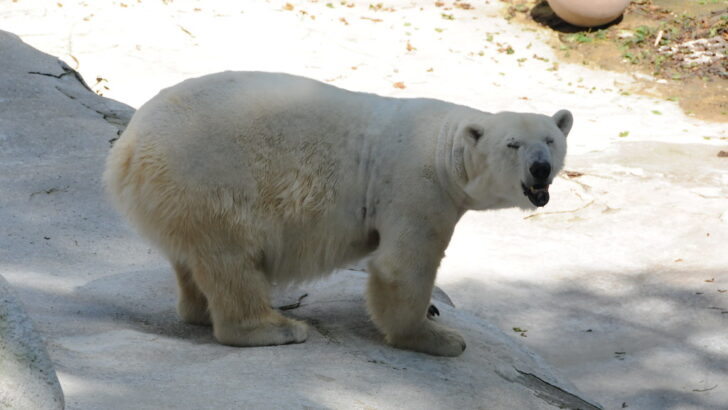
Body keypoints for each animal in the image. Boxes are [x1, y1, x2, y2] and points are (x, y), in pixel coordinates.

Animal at [104, 71, 572, 357]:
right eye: (513, 144)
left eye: (551, 140)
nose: (540, 168)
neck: (445, 149)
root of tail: (127, 150)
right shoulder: (417, 186)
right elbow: (403, 265)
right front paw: (438, 337)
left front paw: (434, 315)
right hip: (208, 178)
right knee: (232, 258)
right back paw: (278, 327)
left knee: (193, 260)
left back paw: (202, 309)